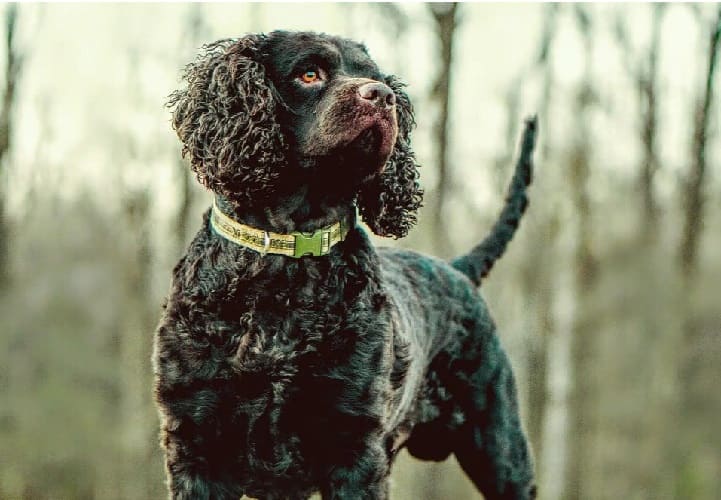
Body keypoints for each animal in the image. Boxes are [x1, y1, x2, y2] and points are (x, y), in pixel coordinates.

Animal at [152, 32, 536, 500]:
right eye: (309, 74)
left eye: (375, 77)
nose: (383, 96)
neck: (285, 265)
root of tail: (458, 269)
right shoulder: (195, 443)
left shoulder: (354, 446)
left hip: (500, 448)